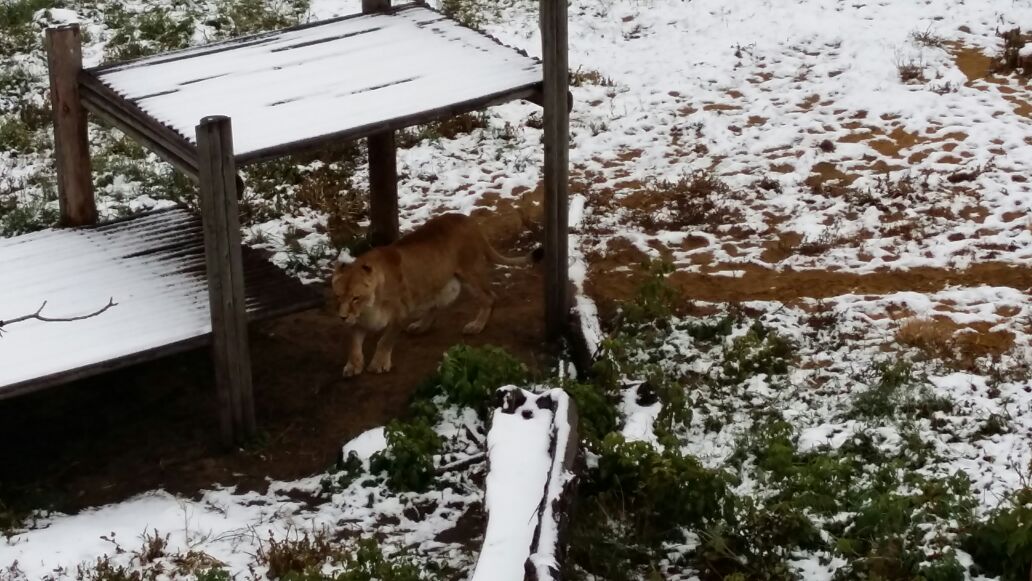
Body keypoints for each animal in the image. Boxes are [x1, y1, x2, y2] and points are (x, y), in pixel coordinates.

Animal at [331, 212, 541, 378]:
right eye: (338, 297)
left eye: (355, 298)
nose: (341, 317)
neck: (368, 306)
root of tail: (467, 219)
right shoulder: (357, 322)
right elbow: (353, 345)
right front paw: (353, 366)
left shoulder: (399, 314)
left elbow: (385, 340)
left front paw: (378, 364)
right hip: (435, 281)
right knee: (434, 305)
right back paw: (420, 326)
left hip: (470, 272)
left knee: (490, 297)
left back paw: (476, 326)